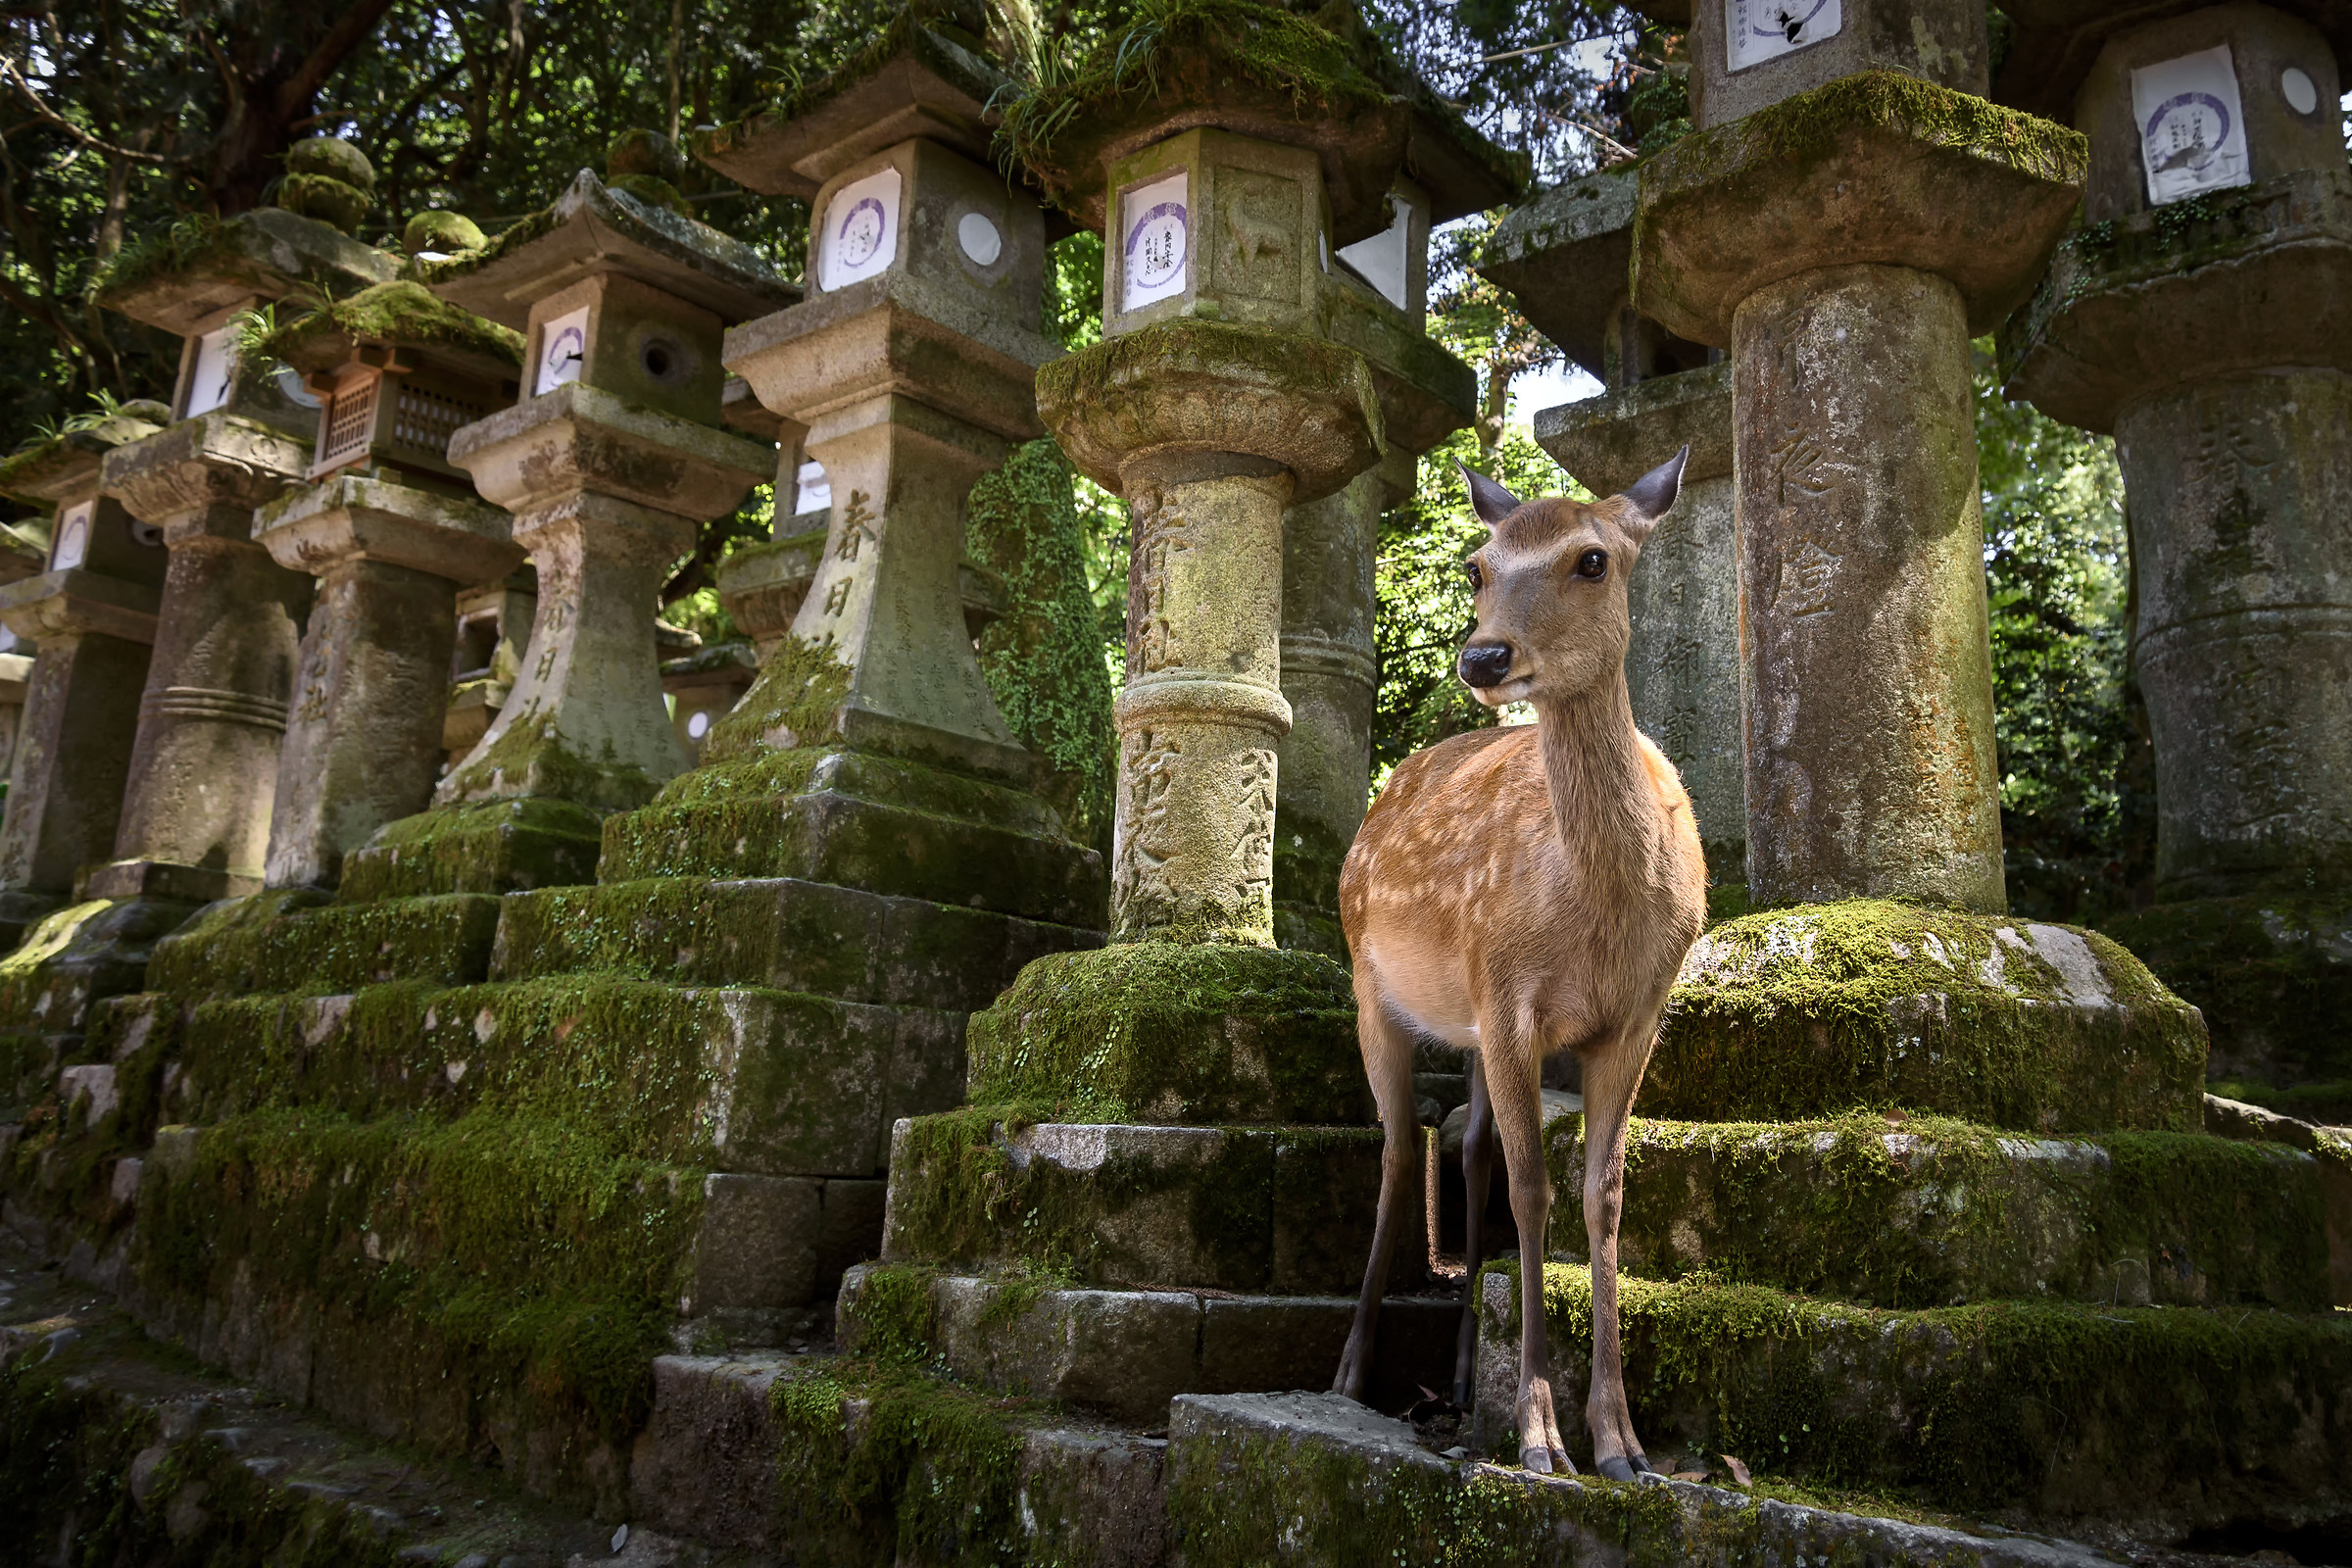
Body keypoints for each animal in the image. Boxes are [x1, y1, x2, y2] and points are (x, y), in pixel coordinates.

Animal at [1330, 447, 1706, 1480]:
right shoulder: (1510, 1000)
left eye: (1593, 559)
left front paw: (1623, 1444)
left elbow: (1603, 1197)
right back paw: (1351, 1370)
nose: (1484, 658)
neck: (1598, 920)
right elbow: (1533, 1192)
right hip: (1372, 985)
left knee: (1465, 1144)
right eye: (1477, 567)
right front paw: (1541, 1437)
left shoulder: (1636, 1016)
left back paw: (1461, 1383)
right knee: (1397, 1148)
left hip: (1464, 1017)